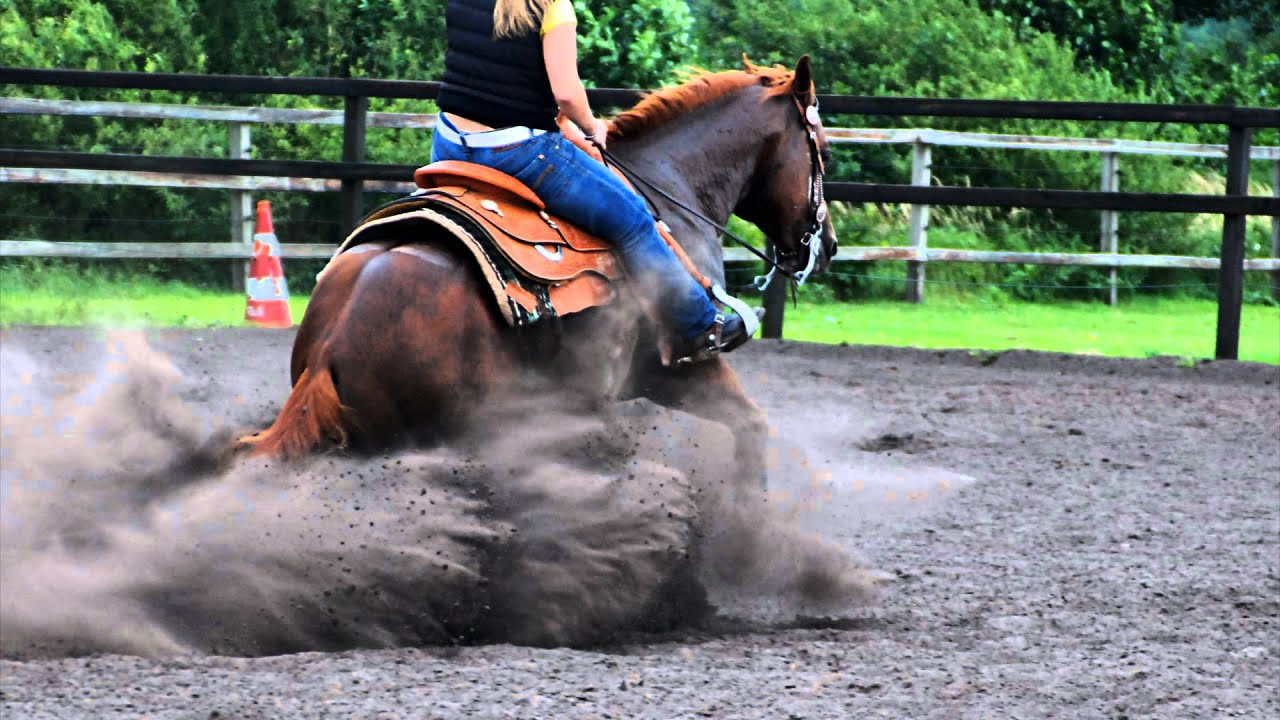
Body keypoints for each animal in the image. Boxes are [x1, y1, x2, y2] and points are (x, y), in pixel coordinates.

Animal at [240, 56, 837, 486]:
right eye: (823, 152)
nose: (827, 245)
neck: (670, 189)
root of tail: (330, 345)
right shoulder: (680, 365)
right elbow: (751, 425)